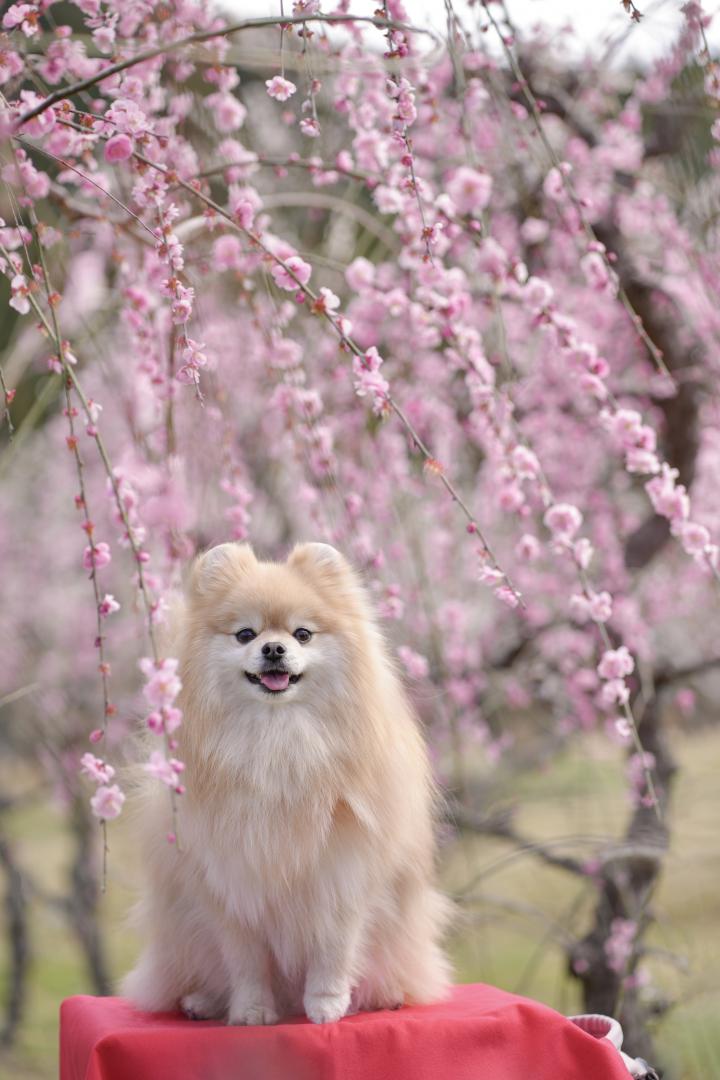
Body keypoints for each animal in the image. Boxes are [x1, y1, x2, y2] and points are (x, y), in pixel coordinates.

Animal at [123, 544, 451, 1023]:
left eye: (302, 634)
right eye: (245, 634)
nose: (274, 647)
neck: (277, 739)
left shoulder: (342, 874)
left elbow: (334, 948)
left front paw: (326, 1004)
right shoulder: (230, 885)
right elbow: (244, 960)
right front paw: (251, 1010)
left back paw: (385, 996)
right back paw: (203, 1002)